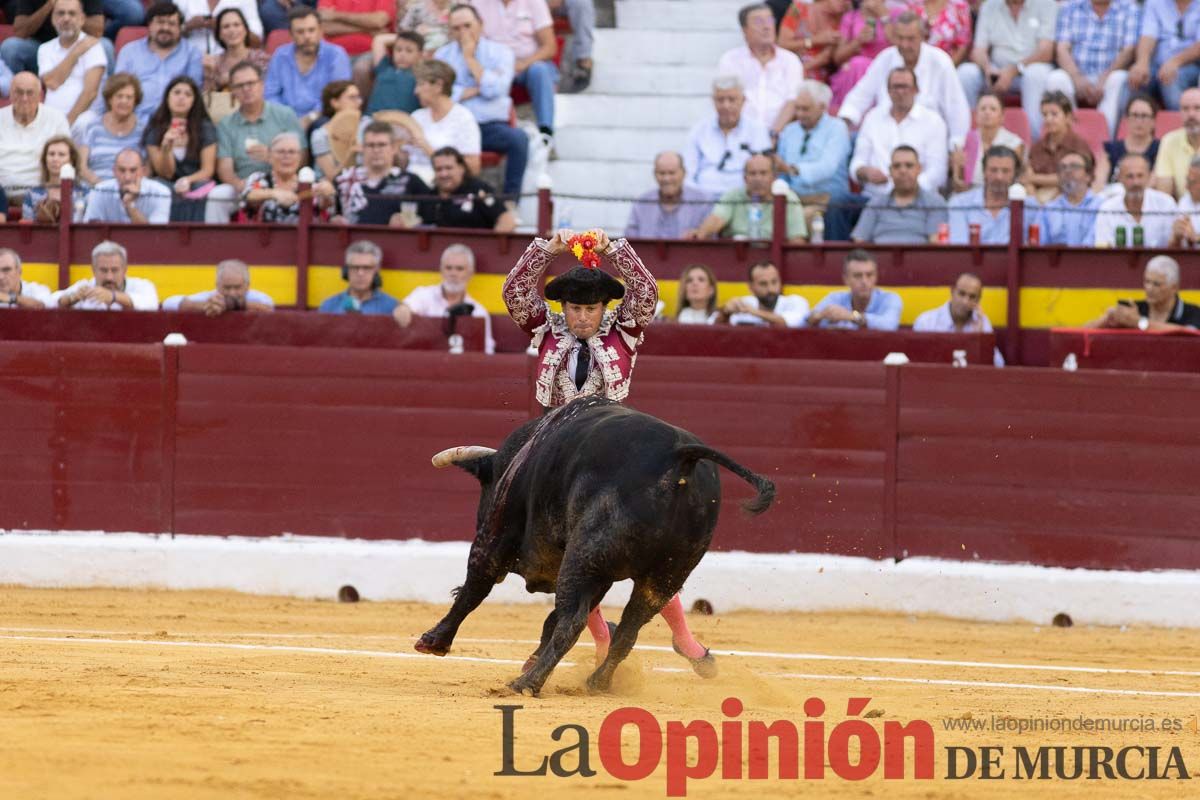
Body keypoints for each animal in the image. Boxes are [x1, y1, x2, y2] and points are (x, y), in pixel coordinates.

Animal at [415, 398, 777, 695]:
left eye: (486, 488)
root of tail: (681, 456)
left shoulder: (495, 538)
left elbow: (474, 588)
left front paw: (433, 641)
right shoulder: (600, 575)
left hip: (583, 558)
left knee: (572, 622)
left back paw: (527, 684)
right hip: (665, 573)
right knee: (629, 628)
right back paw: (598, 681)